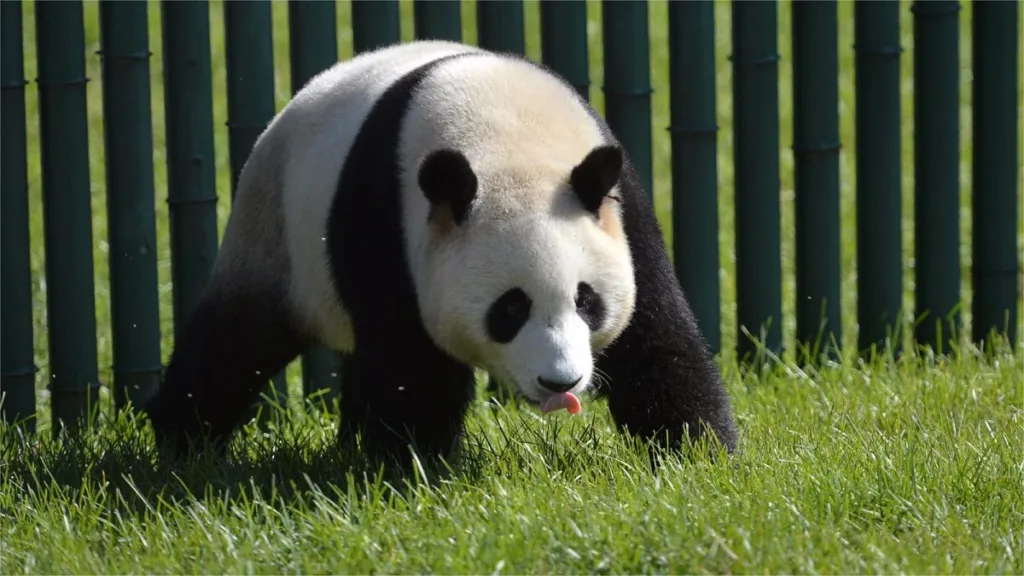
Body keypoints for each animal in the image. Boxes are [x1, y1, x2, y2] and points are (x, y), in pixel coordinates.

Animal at [144, 40, 739, 462]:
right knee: (236, 340)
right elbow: (410, 357)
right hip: (274, 231)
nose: (560, 383)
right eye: (510, 308)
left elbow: (655, 332)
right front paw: (418, 464)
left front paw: (700, 452)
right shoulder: (386, 215)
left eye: (586, 301)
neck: (509, 132)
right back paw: (181, 440)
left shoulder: (621, 204)